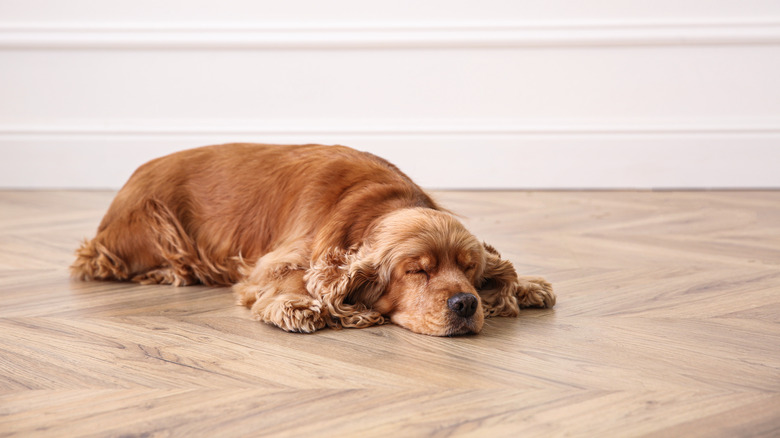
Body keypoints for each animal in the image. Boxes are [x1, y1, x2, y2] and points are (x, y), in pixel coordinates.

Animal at [70, 144, 552, 336]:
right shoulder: (276, 259)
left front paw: (528, 285)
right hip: (156, 224)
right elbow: (291, 277)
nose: (466, 303)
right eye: (417, 271)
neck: (376, 205)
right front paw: (297, 305)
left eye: (470, 270)